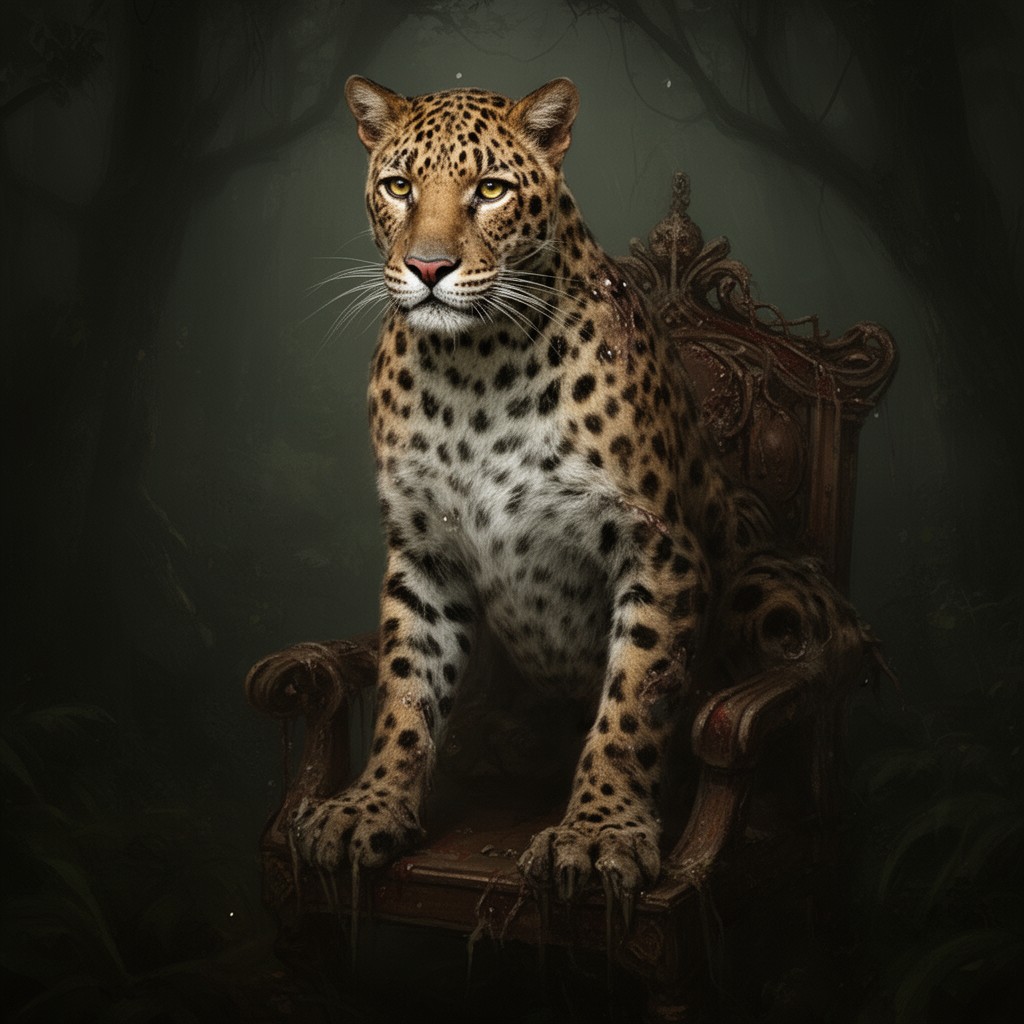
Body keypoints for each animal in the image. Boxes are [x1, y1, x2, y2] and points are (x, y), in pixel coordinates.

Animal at [291, 75, 873, 913]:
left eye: (490, 190)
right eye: (399, 186)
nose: (429, 268)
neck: (471, 371)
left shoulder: (658, 548)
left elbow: (633, 701)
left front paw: (600, 834)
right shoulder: (423, 555)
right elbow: (406, 692)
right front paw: (369, 807)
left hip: (775, 580)